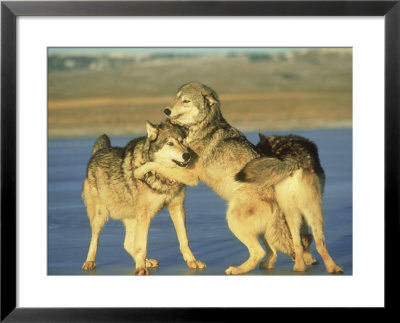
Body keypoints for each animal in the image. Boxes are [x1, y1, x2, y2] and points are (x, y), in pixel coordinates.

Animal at [81, 121, 206, 276]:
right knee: (95, 239)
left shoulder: (177, 207)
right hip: (101, 215)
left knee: (127, 243)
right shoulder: (145, 214)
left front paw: (192, 261)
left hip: (132, 218)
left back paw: (147, 261)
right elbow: (141, 245)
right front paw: (140, 268)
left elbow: (184, 240)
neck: (162, 177)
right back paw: (90, 262)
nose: (187, 155)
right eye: (170, 143)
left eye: (182, 142)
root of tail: (99, 151)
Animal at [136, 82, 342, 274]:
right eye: (176, 98)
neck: (200, 128)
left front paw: (139, 170)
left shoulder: (190, 174)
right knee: (273, 252)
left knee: (259, 252)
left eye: (186, 101)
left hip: (234, 220)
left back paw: (237, 269)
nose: (166, 110)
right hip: (267, 228)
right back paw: (268, 265)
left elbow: (157, 164)